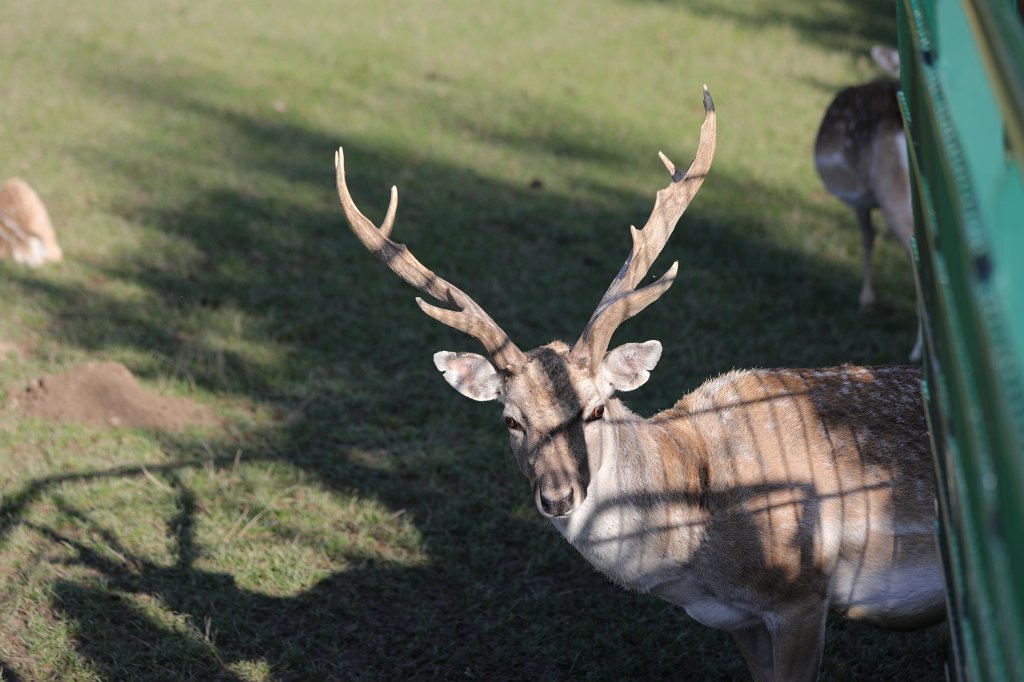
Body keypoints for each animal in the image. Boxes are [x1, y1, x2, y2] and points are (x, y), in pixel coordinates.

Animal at [334, 86, 945, 682]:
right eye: (511, 419)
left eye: (596, 409)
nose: (558, 497)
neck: (701, 551)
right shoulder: (742, 620)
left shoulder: (801, 595)